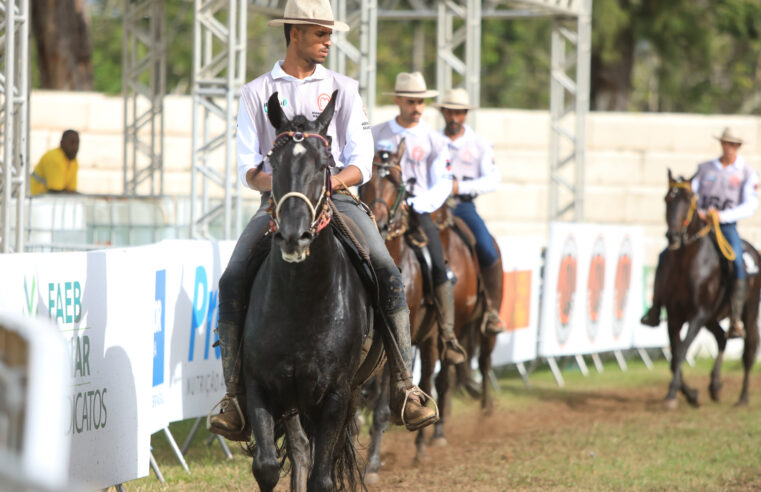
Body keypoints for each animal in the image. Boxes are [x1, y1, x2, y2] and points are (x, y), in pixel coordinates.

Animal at [243, 90, 372, 490]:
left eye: (324, 163)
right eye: (274, 161)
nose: (293, 235)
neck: (302, 303)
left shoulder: (335, 395)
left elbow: (322, 478)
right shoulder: (261, 386)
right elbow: (268, 466)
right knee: (300, 450)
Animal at [656, 171, 756, 410]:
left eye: (688, 201)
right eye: (667, 199)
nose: (673, 236)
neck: (686, 265)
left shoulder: (698, 315)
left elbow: (682, 351)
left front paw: (673, 395)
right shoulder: (674, 316)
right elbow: (674, 356)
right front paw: (690, 394)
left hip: (747, 312)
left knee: (748, 351)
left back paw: (743, 398)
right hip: (712, 318)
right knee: (721, 338)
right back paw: (715, 386)